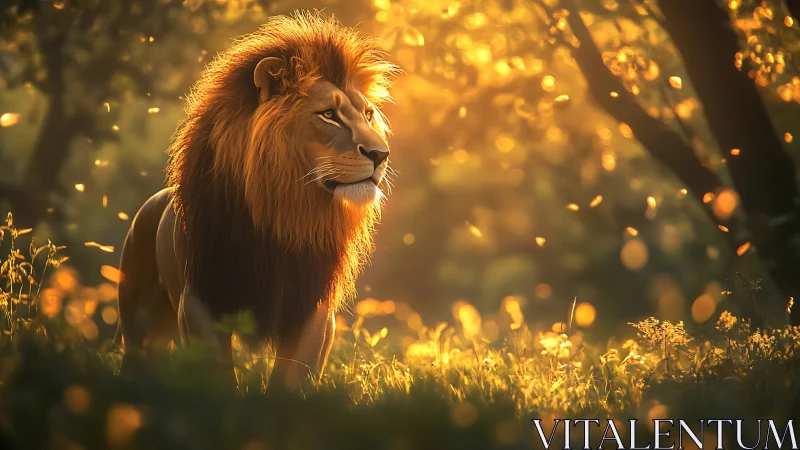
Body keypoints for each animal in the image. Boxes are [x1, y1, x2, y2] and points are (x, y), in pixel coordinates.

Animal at [115, 11, 400, 390]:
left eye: (368, 114)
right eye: (328, 114)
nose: (381, 154)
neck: (281, 212)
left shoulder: (311, 308)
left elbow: (290, 381)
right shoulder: (202, 299)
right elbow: (219, 377)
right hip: (141, 323)